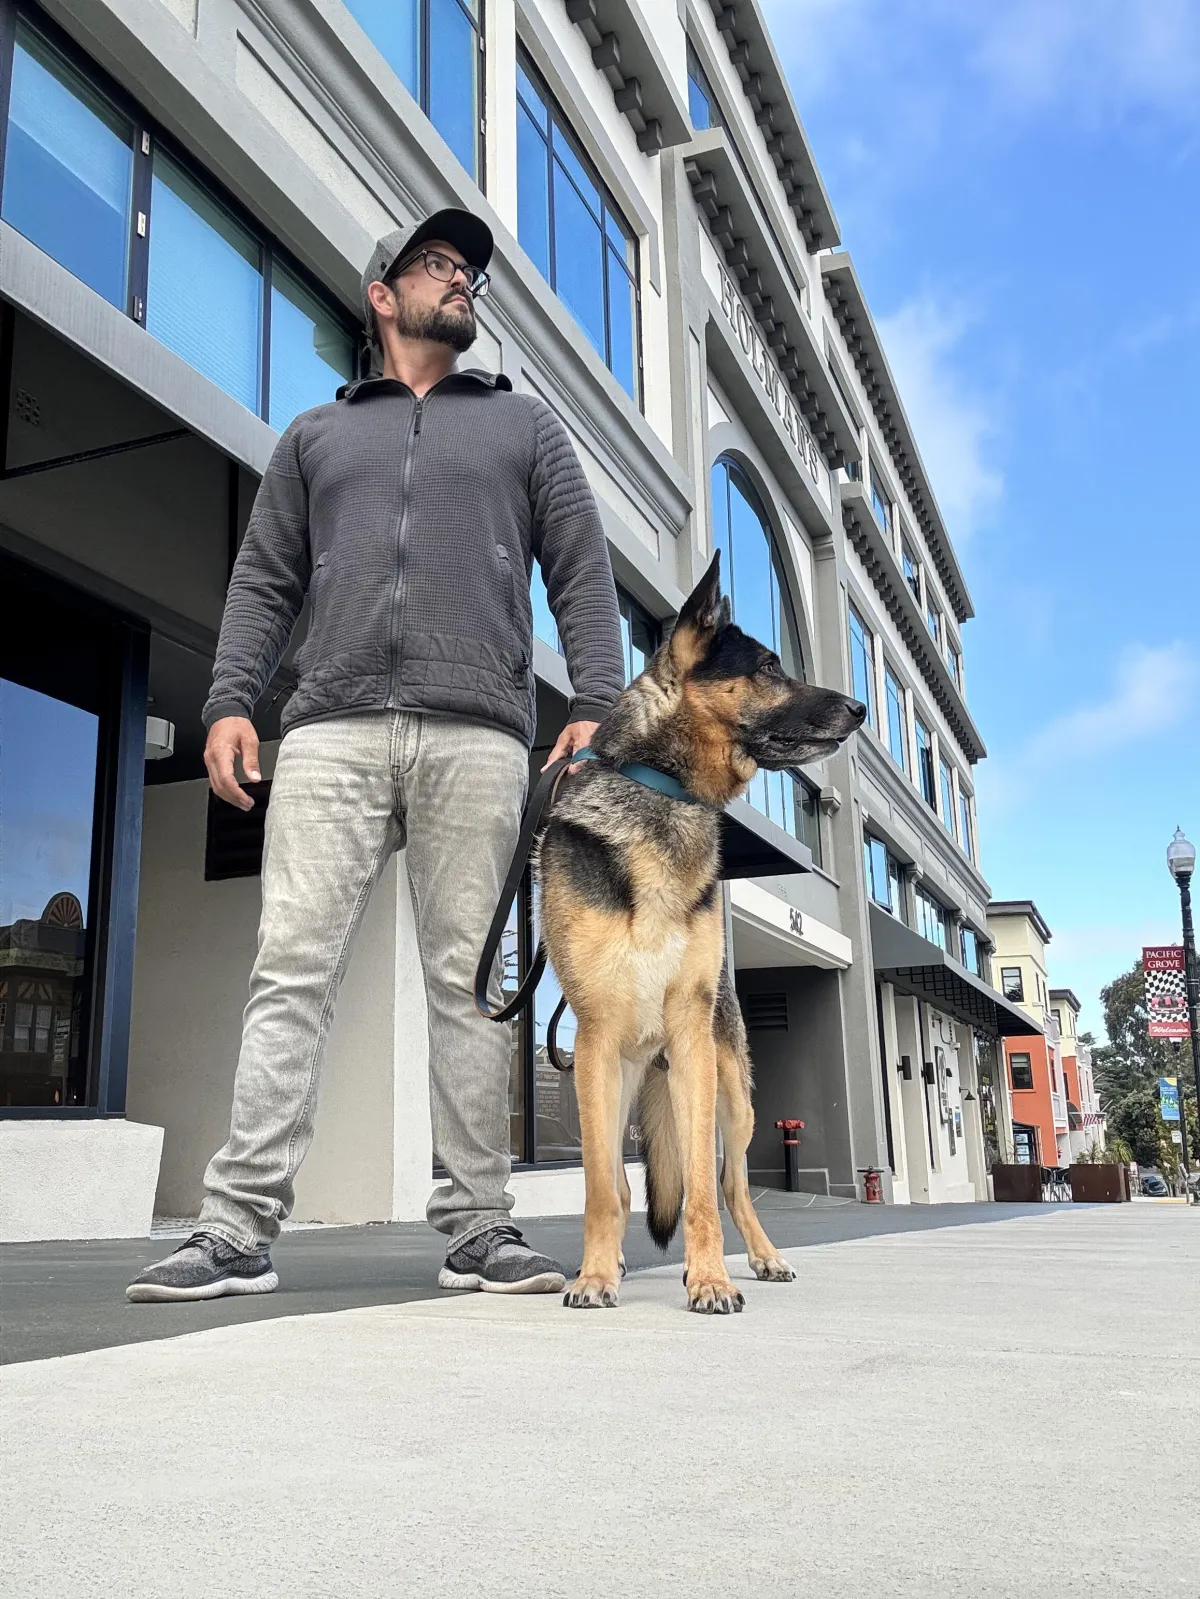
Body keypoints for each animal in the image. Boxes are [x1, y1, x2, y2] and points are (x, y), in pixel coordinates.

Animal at [538, 551, 866, 1313]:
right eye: (770, 665)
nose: (861, 709)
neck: (664, 791)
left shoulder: (691, 1035)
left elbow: (703, 1194)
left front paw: (710, 1277)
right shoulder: (592, 1042)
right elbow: (601, 1188)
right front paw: (594, 1275)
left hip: (732, 1098)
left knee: (731, 1184)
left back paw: (764, 1257)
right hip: (615, 1083)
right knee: (623, 1182)